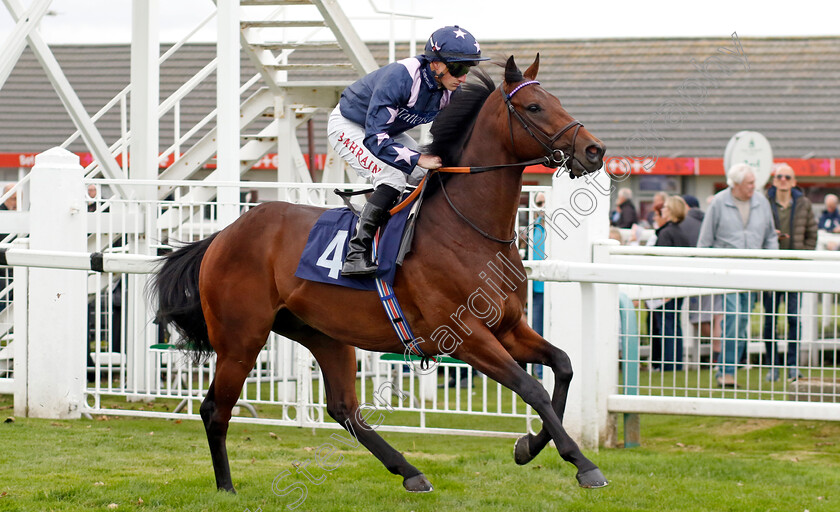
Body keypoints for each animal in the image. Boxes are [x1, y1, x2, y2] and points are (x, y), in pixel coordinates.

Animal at [151, 54, 608, 494]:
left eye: (557, 100)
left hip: (321, 333)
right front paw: (581, 463)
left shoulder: (509, 328)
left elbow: (563, 367)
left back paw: (410, 472)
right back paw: (227, 487)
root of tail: (221, 236)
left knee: (344, 409)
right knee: (215, 409)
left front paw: (530, 446)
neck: (469, 230)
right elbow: (532, 389)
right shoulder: (467, 338)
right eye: (534, 107)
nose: (595, 150)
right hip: (241, 338)